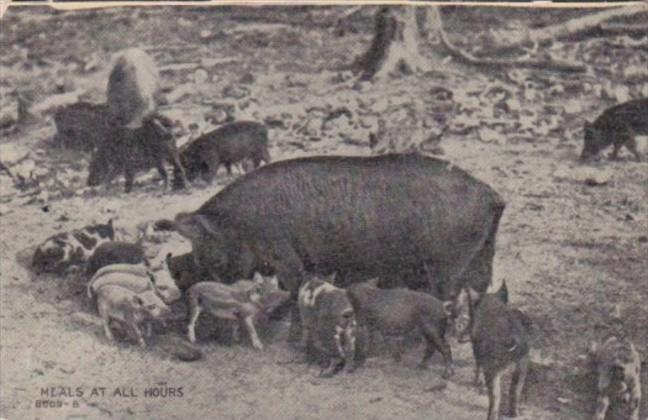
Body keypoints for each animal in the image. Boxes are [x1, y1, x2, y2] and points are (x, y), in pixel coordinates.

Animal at [157, 154, 506, 342]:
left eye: (205, 249)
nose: (187, 291)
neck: (241, 224)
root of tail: (492, 195)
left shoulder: (285, 255)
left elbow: (292, 287)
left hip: (447, 266)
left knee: (447, 298)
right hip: (481, 256)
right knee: (477, 293)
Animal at [456, 282, 532, 420]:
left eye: (471, 314)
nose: (460, 338)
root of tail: (510, 340)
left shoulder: (477, 349)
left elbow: (478, 364)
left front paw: (476, 382)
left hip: (494, 369)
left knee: (496, 396)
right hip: (522, 365)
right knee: (516, 391)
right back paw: (515, 414)